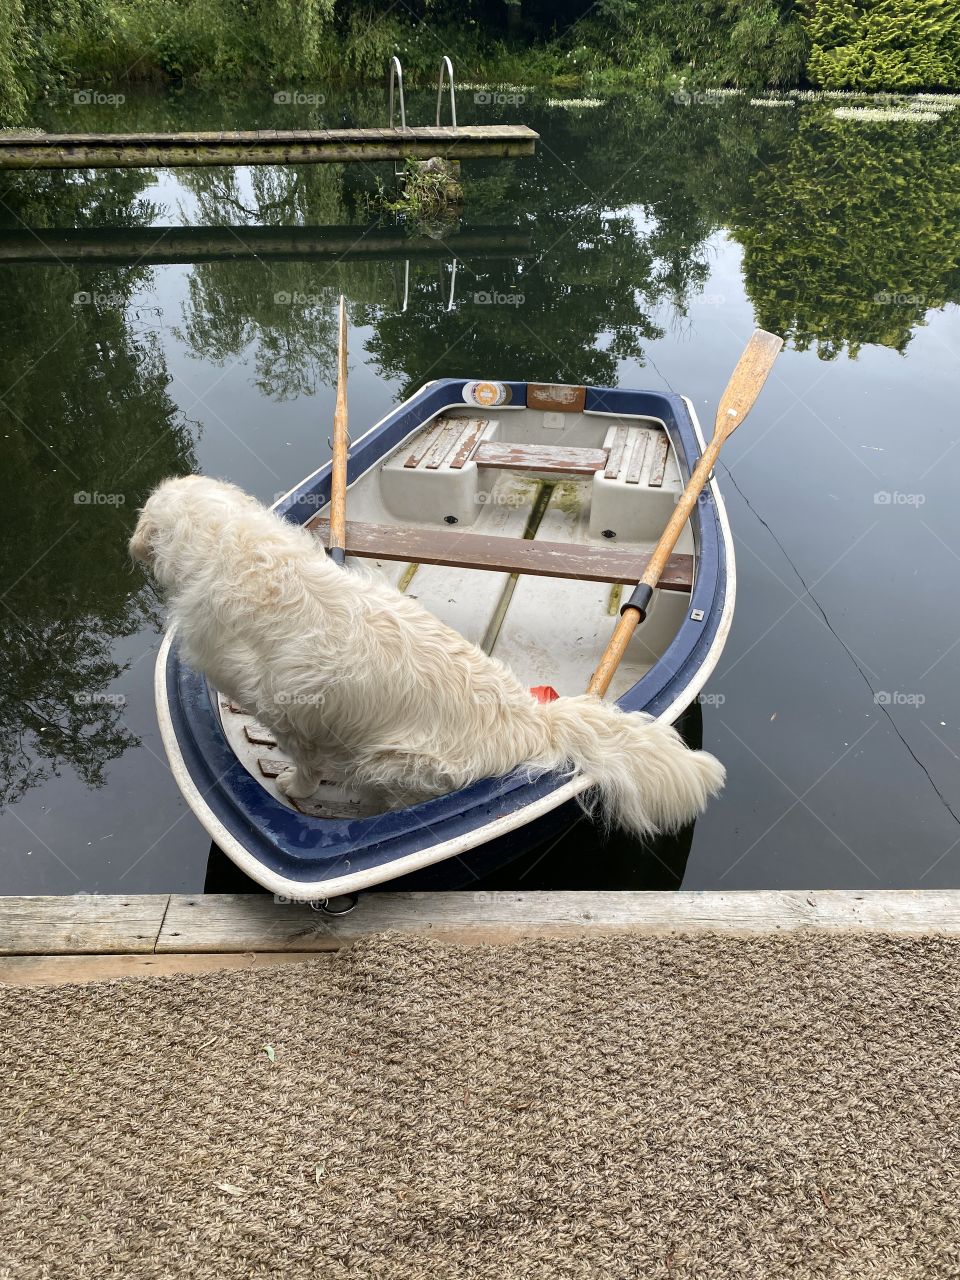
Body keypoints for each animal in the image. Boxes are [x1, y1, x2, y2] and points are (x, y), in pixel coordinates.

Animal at [131, 476, 727, 834]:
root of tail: (534, 719)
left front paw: (293, 785)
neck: (237, 549)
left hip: (391, 761)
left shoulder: (288, 713)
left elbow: (303, 764)